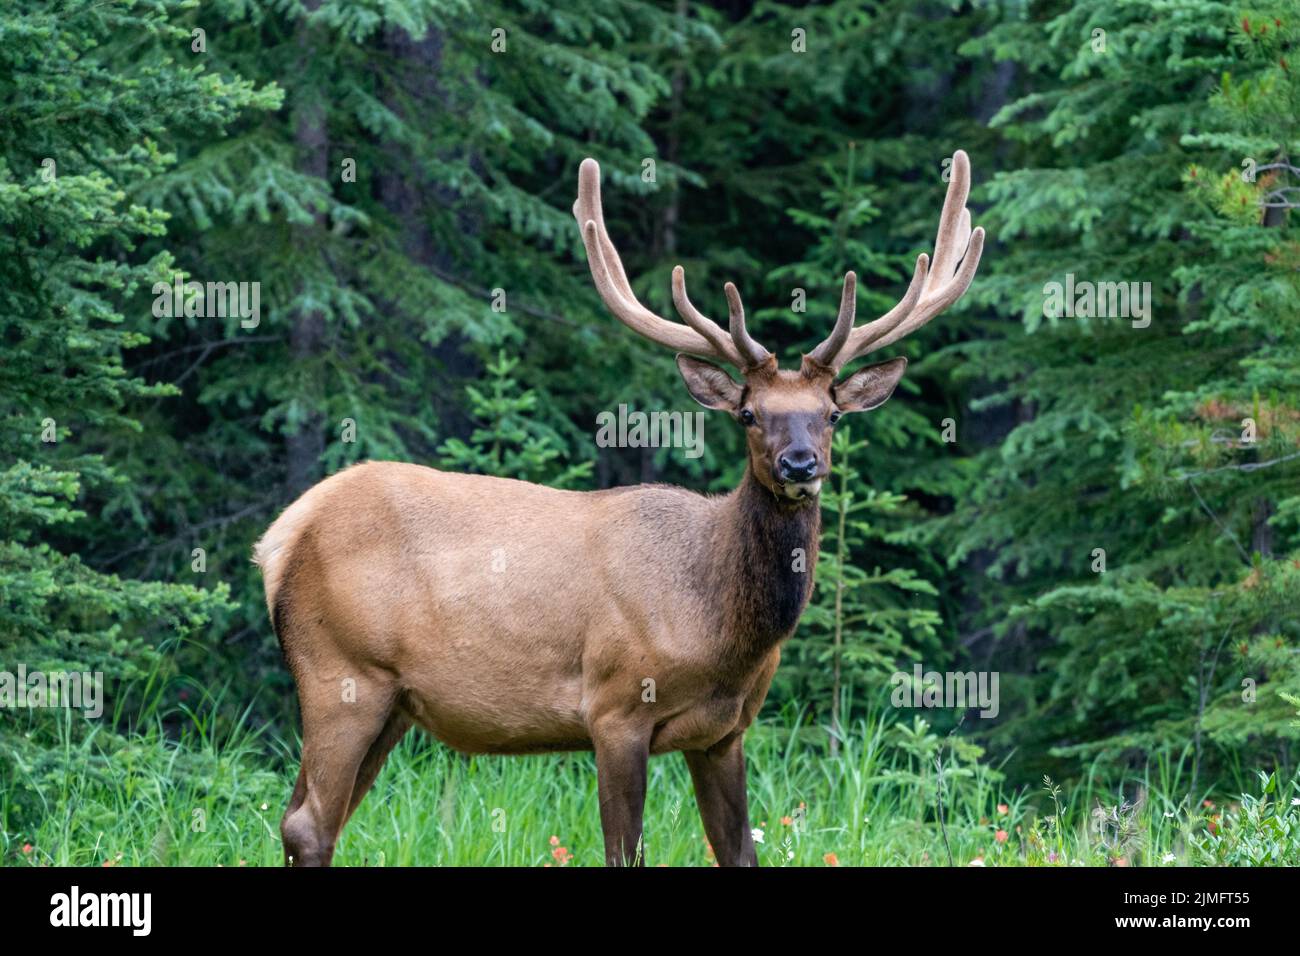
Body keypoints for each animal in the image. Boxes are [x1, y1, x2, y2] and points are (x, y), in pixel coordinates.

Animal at [254, 151, 984, 867]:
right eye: (750, 413)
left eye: (830, 415)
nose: (800, 465)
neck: (720, 629)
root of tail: (282, 535)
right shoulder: (614, 706)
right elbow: (622, 851)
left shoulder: (724, 732)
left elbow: (738, 852)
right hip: (342, 673)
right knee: (309, 824)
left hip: (391, 702)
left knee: (307, 817)